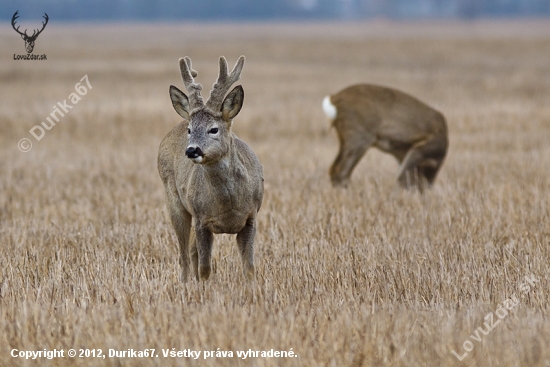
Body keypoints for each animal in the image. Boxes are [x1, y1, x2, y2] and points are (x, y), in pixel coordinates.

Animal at [158, 56, 264, 282]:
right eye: (190, 130)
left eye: (213, 129)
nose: (191, 150)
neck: (228, 205)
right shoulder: (201, 219)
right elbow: (205, 268)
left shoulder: (251, 217)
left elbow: (249, 267)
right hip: (174, 202)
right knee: (184, 255)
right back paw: (184, 283)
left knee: (190, 251)